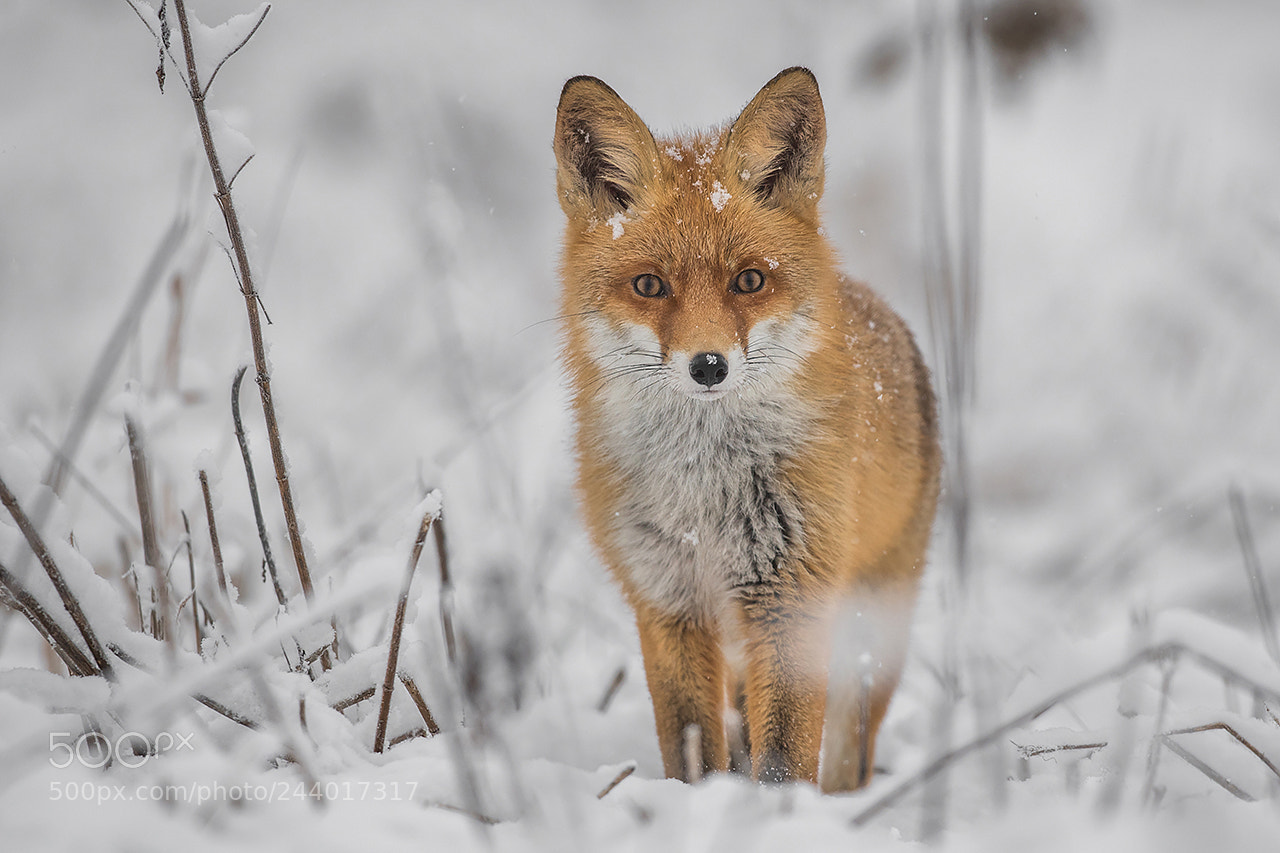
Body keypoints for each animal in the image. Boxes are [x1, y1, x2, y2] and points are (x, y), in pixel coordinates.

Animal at [553, 67, 941, 792]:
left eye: (750, 280)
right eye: (650, 286)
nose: (709, 365)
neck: (705, 494)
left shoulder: (792, 597)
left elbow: (786, 755)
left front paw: (780, 811)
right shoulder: (667, 601)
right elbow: (692, 748)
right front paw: (704, 804)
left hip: (872, 630)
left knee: (848, 750)